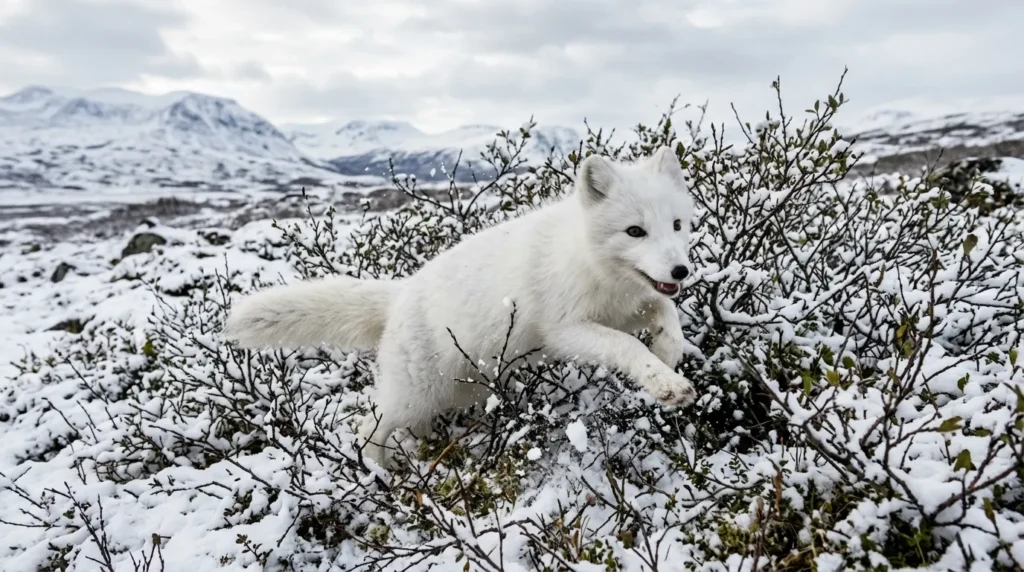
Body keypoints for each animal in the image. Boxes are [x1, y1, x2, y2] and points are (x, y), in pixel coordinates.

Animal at [224, 146, 698, 466]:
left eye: (677, 225)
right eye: (634, 231)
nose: (681, 270)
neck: (591, 263)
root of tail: (401, 293)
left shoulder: (629, 306)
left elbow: (666, 314)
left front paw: (668, 352)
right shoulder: (566, 329)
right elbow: (626, 346)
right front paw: (665, 383)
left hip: (460, 388)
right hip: (412, 395)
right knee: (368, 428)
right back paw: (377, 473)